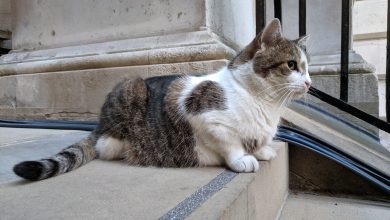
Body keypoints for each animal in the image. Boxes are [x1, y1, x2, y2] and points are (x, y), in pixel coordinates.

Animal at [12, 18, 312, 180]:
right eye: (291, 65)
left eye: (307, 68)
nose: (310, 82)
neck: (265, 104)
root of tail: (98, 125)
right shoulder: (204, 115)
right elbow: (230, 143)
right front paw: (243, 159)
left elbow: (258, 141)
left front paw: (262, 150)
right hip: (130, 87)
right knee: (104, 146)